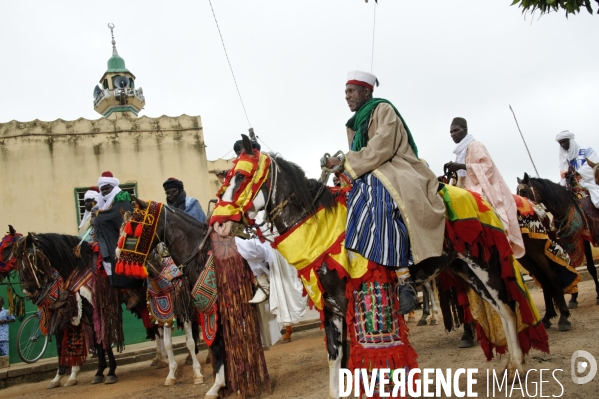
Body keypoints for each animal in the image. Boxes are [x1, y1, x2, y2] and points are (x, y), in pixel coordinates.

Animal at [0, 228, 122, 388]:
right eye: (17, 258)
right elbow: (69, 343)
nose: (27, 289)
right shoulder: (73, 313)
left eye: (31, 257)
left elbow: (102, 339)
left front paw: (111, 371)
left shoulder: (94, 310)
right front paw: (96, 371)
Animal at [213, 136, 552, 398]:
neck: (320, 230)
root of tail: (479, 198)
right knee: (499, 307)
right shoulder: (333, 308)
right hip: (462, 269)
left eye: (240, 177)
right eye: (225, 178)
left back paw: (517, 366)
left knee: (507, 306)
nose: (217, 224)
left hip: (482, 264)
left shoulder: (357, 301)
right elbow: (336, 363)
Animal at [516, 172, 599, 306]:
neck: (564, 209)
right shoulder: (565, 241)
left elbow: (591, 267)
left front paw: (597, 294)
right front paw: (573, 297)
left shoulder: (584, 237)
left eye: (523, 191)